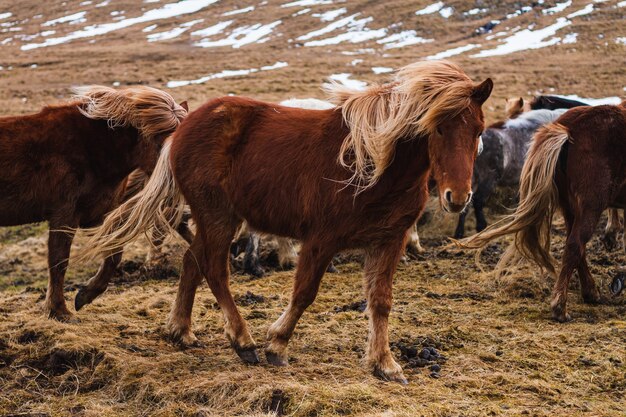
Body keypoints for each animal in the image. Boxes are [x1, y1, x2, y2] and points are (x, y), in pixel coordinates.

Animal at [0, 83, 186, 318]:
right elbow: (59, 261)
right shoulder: (64, 215)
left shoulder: (98, 213)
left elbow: (115, 252)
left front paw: (86, 295)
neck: (93, 148)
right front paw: (59, 310)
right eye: (162, 143)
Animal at [75, 60, 490, 382]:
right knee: (213, 269)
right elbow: (304, 292)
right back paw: (243, 341)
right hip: (218, 215)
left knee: (193, 261)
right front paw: (276, 344)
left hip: (218, 218)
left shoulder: (389, 240)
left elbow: (381, 301)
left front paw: (384, 364)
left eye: (478, 130)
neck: (375, 164)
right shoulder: (322, 239)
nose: (457, 197)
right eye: (437, 127)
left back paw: (182, 331)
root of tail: (186, 122)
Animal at [458, 101, 624, 322]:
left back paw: (589, 292)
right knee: (575, 244)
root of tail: (567, 129)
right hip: (590, 206)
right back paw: (561, 307)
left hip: (571, 206)